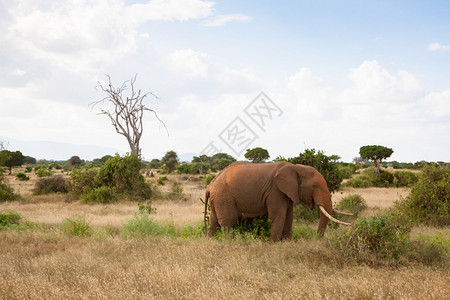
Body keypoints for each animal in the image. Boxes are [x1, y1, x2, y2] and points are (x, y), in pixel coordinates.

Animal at [204, 162, 352, 241]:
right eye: (315, 186)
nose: (317, 238)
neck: (296, 167)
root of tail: (210, 185)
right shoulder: (275, 191)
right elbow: (278, 216)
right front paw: (274, 245)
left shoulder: (287, 193)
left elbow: (289, 217)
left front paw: (288, 242)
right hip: (224, 197)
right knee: (228, 222)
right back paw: (229, 242)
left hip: (218, 198)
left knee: (213, 221)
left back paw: (211, 241)